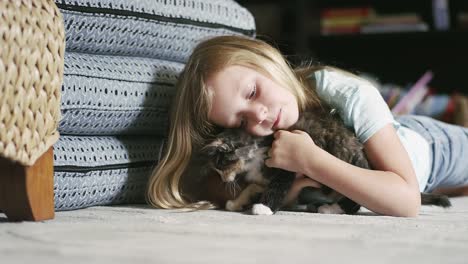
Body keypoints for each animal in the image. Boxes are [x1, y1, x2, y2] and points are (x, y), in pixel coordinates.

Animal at [199, 104, 452, 216]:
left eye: (221, 165)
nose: (224, 180)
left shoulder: (285, 165)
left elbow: (278, 186)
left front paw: (264, 207)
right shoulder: (261, 177)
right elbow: (251, 186)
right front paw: (236, 202)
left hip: (348, 163)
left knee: (354, 200)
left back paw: (332, 208)